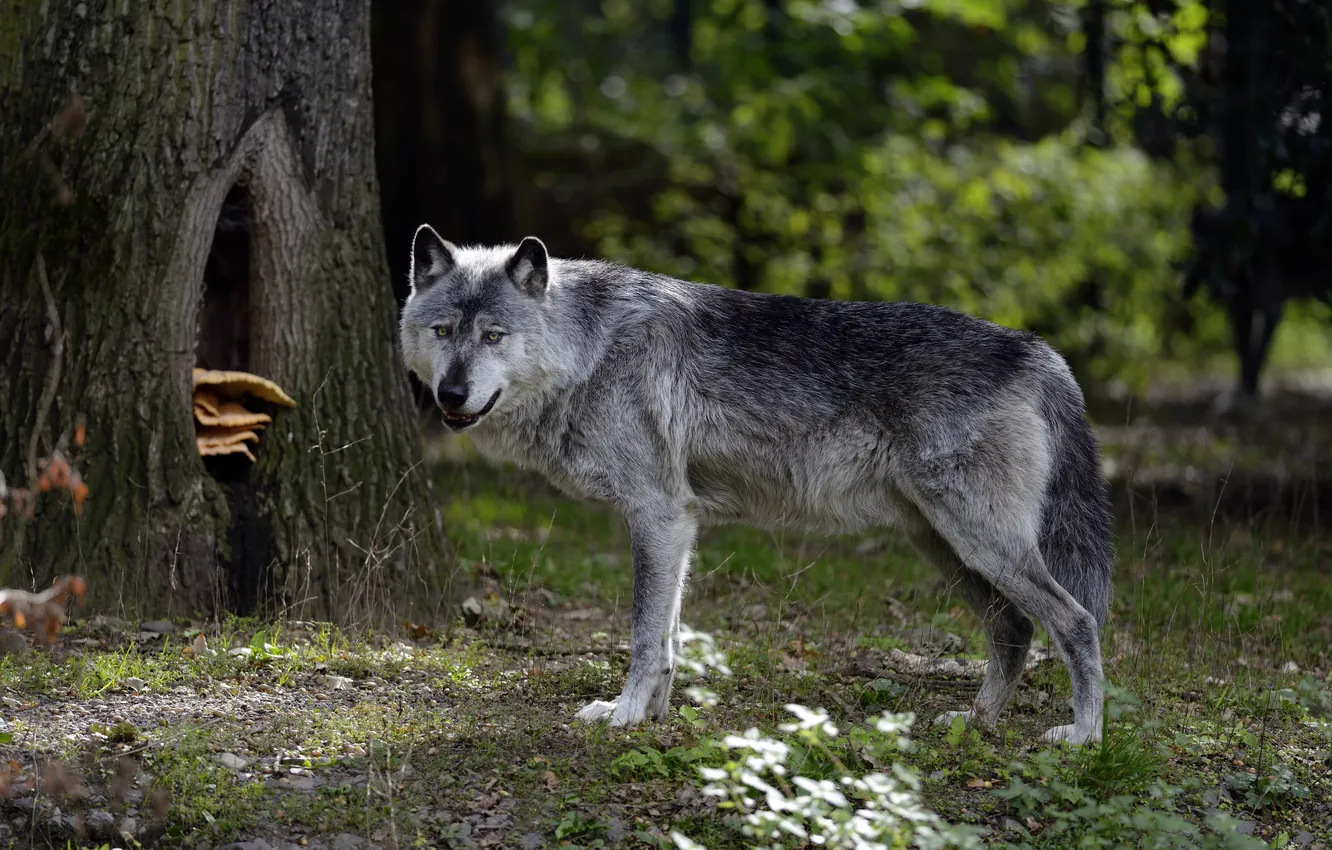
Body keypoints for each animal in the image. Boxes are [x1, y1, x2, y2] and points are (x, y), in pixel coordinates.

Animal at [399, 225, 1114, 745]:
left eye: (495, 336)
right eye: (443, 332)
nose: (451, 394)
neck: (591, 351)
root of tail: (1037, 351)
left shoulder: (657, 515)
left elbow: (643, 634)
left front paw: (625, 715)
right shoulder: (679, 525)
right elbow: (669, 638)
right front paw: (653, 716)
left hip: (982, 545)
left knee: (1076, 623)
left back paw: (1083, 736)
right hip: (948, 548)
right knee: (1013, 630)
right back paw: (978, 722)